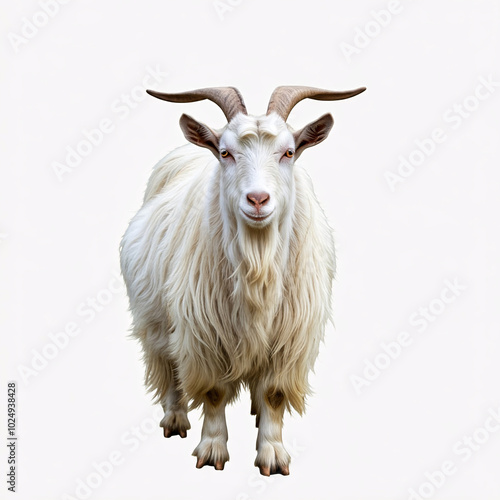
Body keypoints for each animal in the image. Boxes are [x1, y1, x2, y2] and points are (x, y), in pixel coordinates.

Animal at [119, 85, 366, 472]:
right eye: (225, 152)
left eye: (289, 152)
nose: (258, 199)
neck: (257, 263)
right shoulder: (205, 332)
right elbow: (214, 392)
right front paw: (212, 450)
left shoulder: (290, 339)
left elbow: (274, 393)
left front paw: (273, 453)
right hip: (156, 319)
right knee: (168, 363)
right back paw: (175, 419)